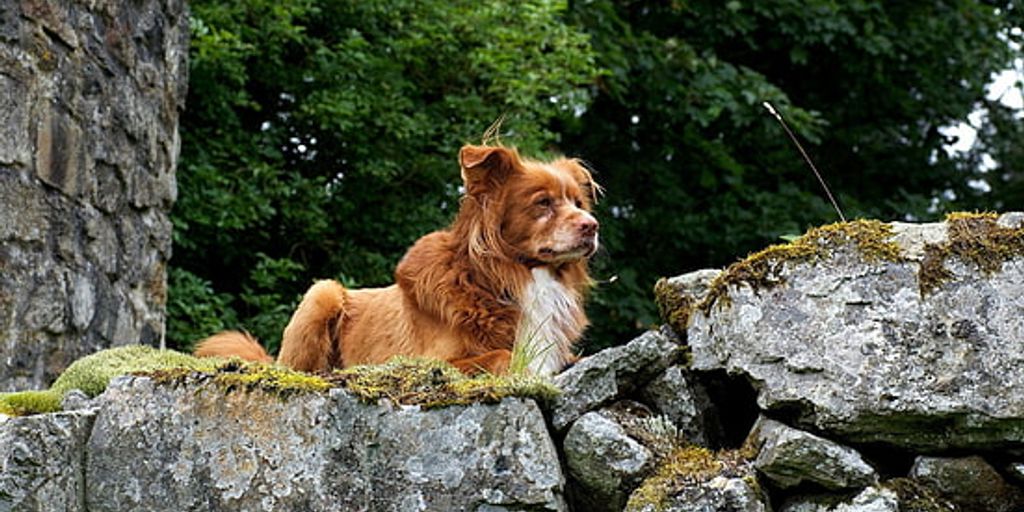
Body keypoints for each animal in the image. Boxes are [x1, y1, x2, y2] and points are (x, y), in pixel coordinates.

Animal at [193, 145, 598, 376]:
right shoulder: (425, 359)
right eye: (543, 203)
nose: (592, 227)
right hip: (322, 293)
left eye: (578, 202)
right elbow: (500, 356)